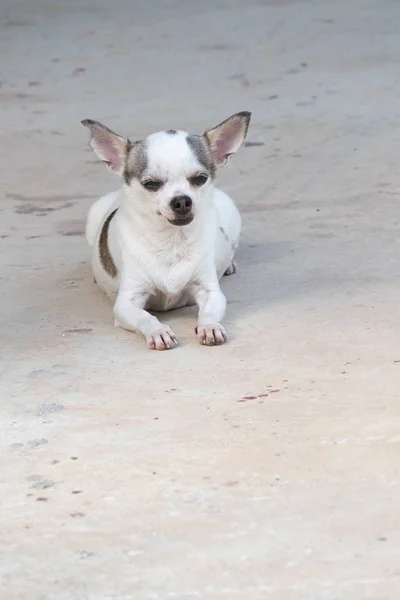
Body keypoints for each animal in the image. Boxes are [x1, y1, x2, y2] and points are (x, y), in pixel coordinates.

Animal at [81, 110, 250, 350]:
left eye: (200, 179)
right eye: (151, 184)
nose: (182, 201)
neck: (172, 241)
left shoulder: (210, 292)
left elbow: (209, 312)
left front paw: (209, 327)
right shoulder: (126, 303)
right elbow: (146, 317)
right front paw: (159, 331)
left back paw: (229, 264)